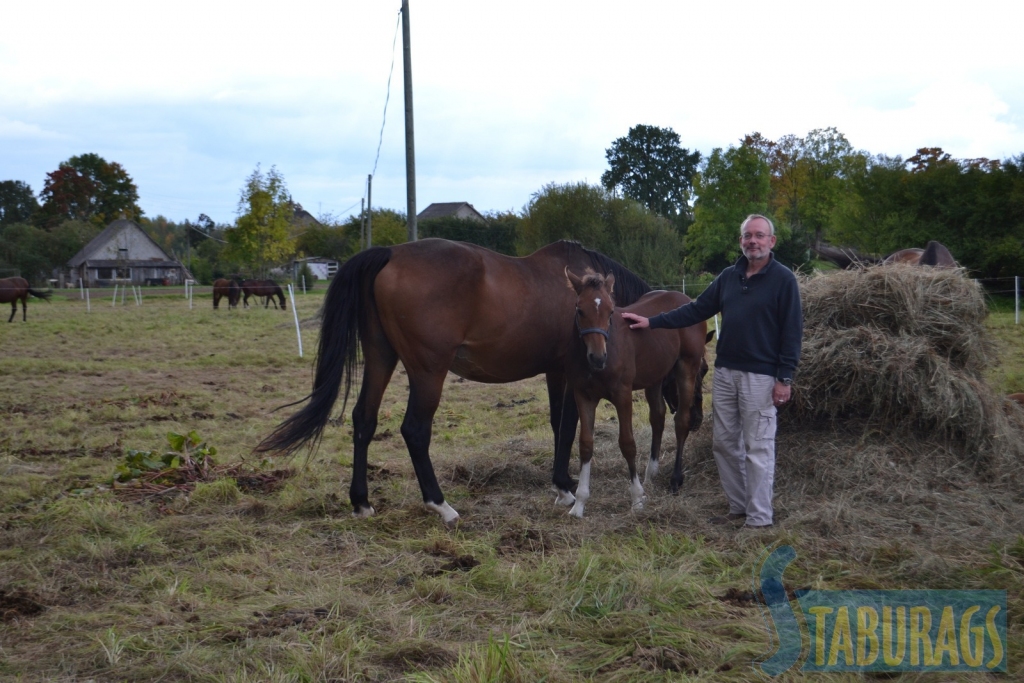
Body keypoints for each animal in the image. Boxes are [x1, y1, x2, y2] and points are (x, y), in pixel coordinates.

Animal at [561, 270, 712, 516]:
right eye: (579, 309)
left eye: (611, 311)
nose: (597, 357)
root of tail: (684, 298)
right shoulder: (584, 396)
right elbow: (585, 444)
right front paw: (579, 504)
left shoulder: (622, 395)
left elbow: (627, 443)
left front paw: (637, 498)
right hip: (655, 377)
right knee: (658, 417)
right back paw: (651, 473)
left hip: (686, 367)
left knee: (681, 421)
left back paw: (675, 479)